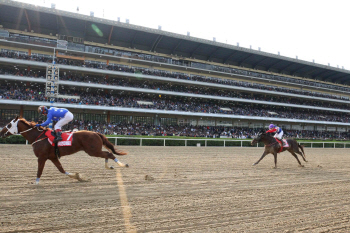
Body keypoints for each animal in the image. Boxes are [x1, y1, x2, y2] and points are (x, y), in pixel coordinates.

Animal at [0, 116, 129, 184]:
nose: (1, 132)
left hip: (93, 151)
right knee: (107, 154)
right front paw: (77, 176)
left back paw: (123, 165)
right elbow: (61, 170)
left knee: (109, 154)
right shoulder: (52, 157)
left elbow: (39, 171)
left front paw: (35, 183)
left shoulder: (42, 157)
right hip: (94, 151)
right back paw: (110, 166)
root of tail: (96, 132)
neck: (38, 136)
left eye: (9, 125)